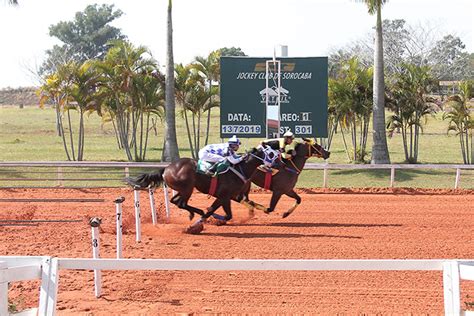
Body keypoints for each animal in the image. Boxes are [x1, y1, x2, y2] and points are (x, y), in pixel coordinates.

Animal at [125, 146, 278, 232]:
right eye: (272, 154)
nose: (280, 162)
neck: (240, 168)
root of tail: (166, 168)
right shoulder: (223, 196)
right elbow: (218, 212)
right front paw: (208, 221)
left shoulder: (231, 196)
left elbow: (240, 207)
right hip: (188, 188)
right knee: (181, 203)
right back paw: (197, 213)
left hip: (183, 189)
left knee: (175, 200)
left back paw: (194, 213)